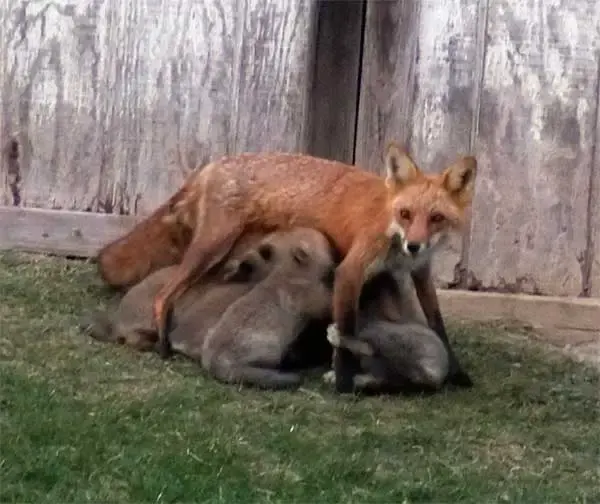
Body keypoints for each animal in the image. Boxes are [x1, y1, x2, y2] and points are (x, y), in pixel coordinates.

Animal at [95, 142, 478, 394]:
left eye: (436, 218)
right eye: (406, 214)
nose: (414, 244)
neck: (390, 226)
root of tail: (213, 164)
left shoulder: (421, 272)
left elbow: (437, 325)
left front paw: (457, 374)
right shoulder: (350, 272)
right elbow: (347, 331)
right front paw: (343, 383)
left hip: (228, 253)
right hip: (212, 248)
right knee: (164, 295)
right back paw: (161, 346)